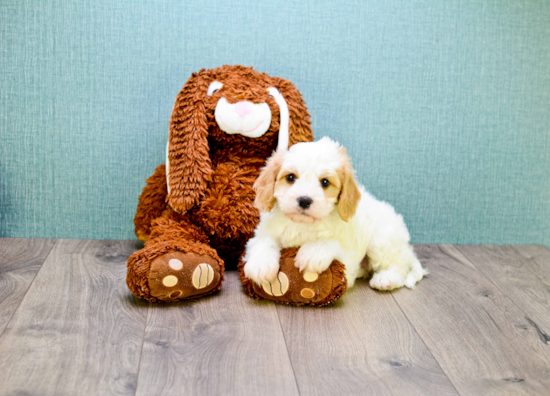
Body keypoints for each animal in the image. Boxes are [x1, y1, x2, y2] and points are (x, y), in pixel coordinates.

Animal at [244, 138, 430, 292]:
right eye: (290, 177)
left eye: (325, 182)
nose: (304, 200)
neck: (303, 225)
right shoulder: (264, 232)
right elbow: (263, 242)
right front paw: (261, 265)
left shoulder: (349, 259)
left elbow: (332, 243)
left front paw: (312, 253)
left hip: (382, 241)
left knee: (398, 266)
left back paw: (386, 279)